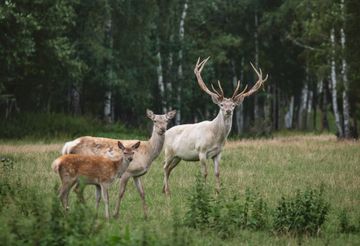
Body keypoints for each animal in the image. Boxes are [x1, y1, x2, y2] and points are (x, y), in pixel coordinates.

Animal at [163, 57, 268, 194]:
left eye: (233, 105)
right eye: (221, 105)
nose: (228, 111)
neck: (216, 137)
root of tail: (165, 133)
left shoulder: (218, 153)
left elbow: (217, 173)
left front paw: (218, 193)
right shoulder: (201, 151)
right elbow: (205, 173)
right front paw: (203, 191)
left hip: (177, 157)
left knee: (169, 169)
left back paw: (165, 190)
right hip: (168, 152)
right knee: (164, 167)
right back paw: (167, 192)